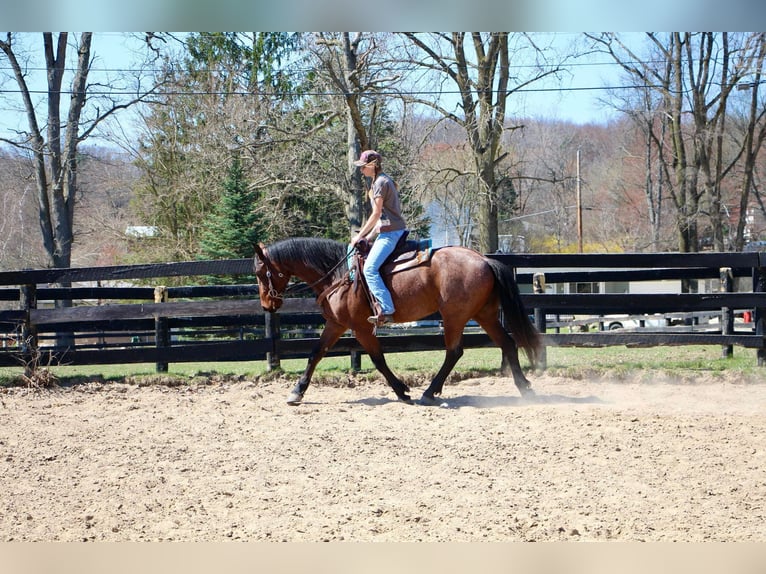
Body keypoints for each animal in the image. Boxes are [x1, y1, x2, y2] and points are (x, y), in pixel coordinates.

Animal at [255, 236, 544, 408]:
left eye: (259, 272)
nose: (267, 305)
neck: (339, 274)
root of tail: (484, 259)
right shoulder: (336, 324)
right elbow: (315, 353)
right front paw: (297, 391)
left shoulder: (360, 327)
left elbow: (378, 360)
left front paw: (402, 391)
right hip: (484, 314)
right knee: (507, 344)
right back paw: (525, 389)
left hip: (454, 316)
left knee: (454, 351)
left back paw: (429, 393)